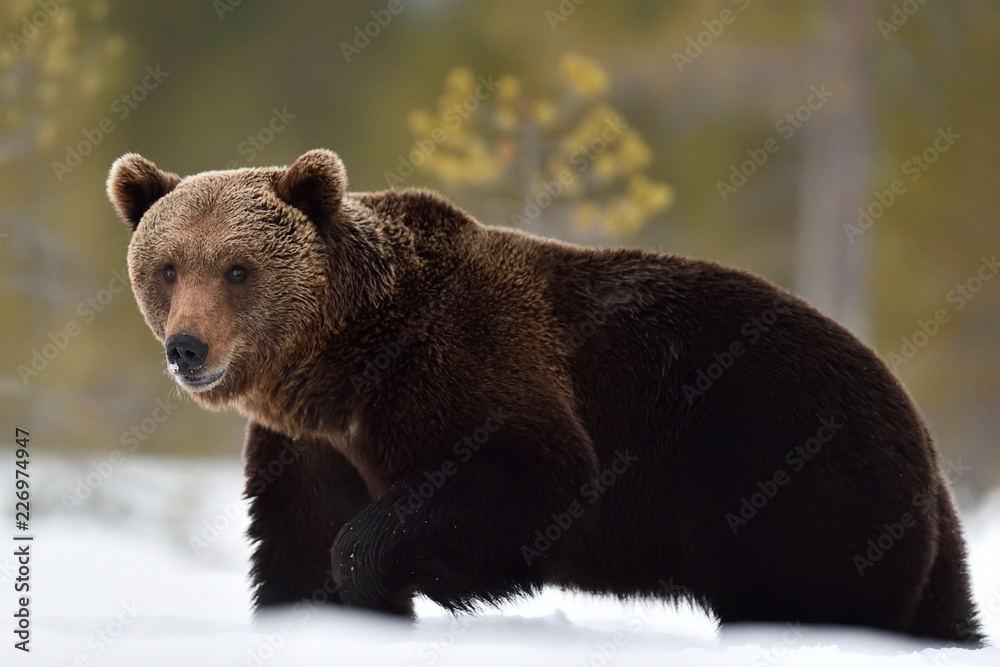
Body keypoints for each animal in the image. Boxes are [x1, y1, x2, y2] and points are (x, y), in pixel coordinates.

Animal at [107, 148, 983, 645]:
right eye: (168, 266)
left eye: (238, 267)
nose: (188, 347)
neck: (343, 366)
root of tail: (918, 425)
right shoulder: (310, 447)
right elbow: (295, 546)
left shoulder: (467, 367)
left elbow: (525, 477)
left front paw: (388, 576)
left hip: (792, 468)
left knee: (812, 591)